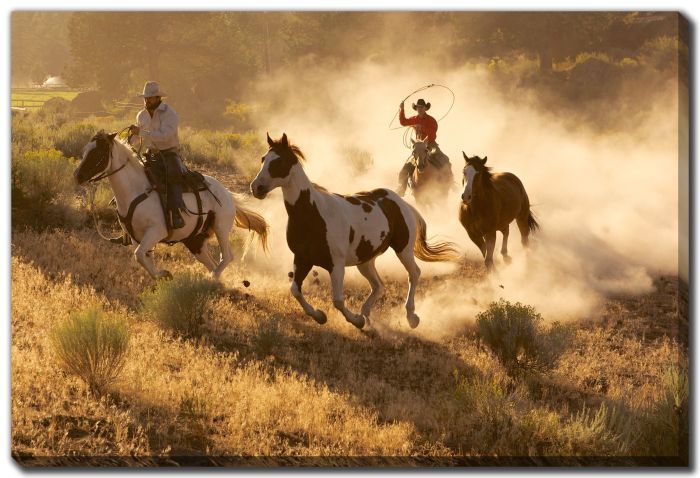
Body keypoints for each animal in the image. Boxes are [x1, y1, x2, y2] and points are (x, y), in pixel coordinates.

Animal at [75, 130, 270, 280]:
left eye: (98, 153)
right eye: (85, 151)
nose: (78, 176)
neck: (135, 190)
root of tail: (227, 193)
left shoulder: (156, 231)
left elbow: (138, 255)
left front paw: (163, 274)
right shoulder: (140, 237)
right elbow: (144, 257)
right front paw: (161, 275)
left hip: (221, 227)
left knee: (226, 257)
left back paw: (213, 277)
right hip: (195, 240)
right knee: (211, 262)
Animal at [250, 133, 460, 330]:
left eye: (278, 161)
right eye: (263, 159)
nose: (256, 187)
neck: (312, 213)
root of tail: (401, 203)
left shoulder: (336, 265)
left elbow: (337, 300)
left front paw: (356, 321)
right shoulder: (302, 259)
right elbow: (295, 291)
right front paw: (320, 316)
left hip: (403, 249)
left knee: (414, 274)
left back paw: (411, 317)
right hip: (365, 261)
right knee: (378, 286)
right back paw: (366, 314)